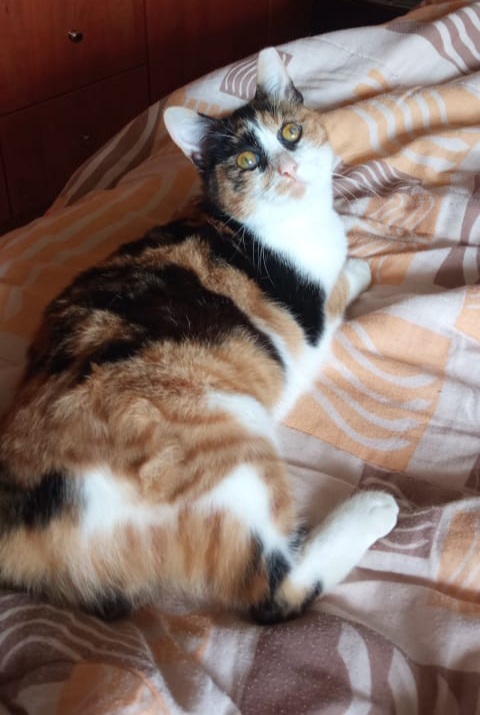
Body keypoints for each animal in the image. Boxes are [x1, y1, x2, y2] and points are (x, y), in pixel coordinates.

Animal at [0, 48, 398, 624]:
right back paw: (373, 509)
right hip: (226, 445)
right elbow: (342, 283)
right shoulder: (315, 319)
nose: (287, 166)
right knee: (273, 592)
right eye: (247, 161)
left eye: (292, 132)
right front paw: (362, 266)